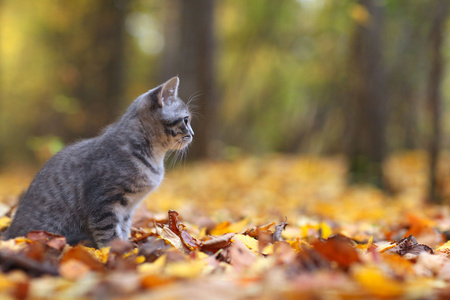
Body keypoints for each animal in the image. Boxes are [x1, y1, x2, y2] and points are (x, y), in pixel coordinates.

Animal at [3, 77, 193, 248]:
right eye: (186, 120)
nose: (192, 134)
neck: (154, 157)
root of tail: (9, 233)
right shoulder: (103, 203)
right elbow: (108, 233)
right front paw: (116, 253)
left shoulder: (127, 209)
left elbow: (123, 229)